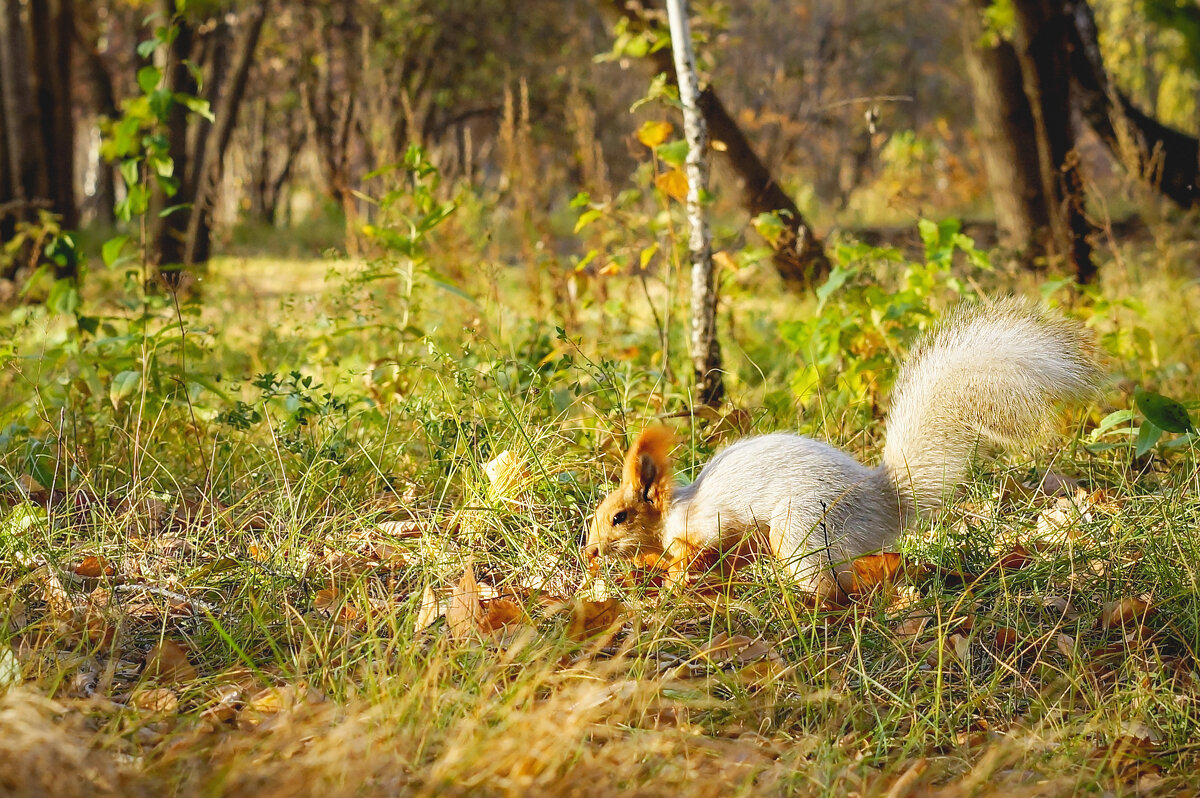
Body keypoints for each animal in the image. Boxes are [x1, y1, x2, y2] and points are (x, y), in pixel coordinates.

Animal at [585, 298, 1099, 590]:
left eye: (619, 517)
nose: (589, 552)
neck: (677, 507)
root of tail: (884, 505)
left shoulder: (708, 524)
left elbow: (704, 548)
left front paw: (676, 577)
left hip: (804, 530)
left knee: (829, 586)